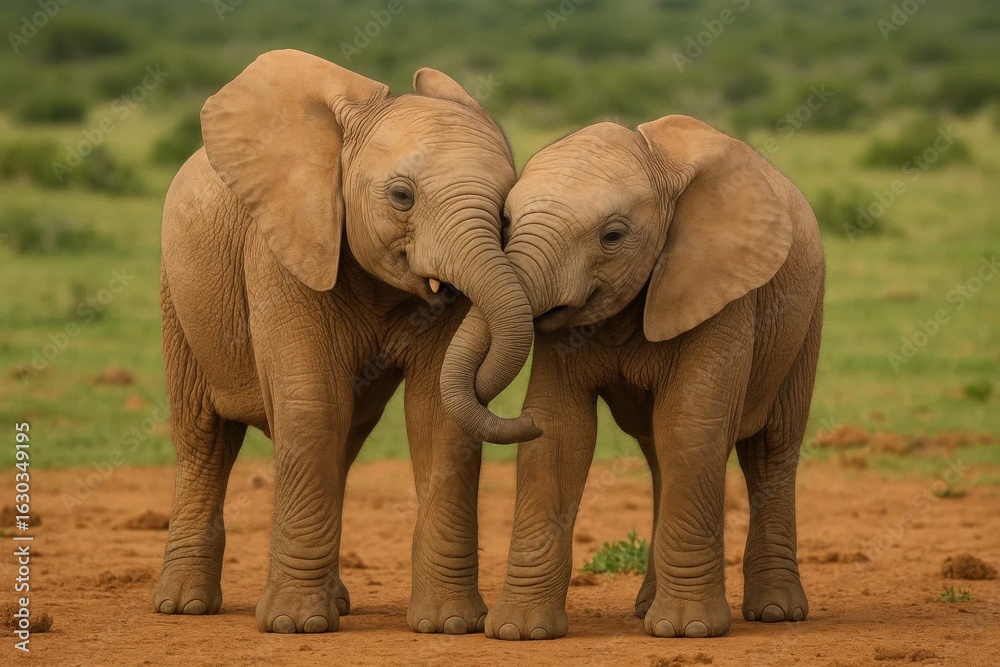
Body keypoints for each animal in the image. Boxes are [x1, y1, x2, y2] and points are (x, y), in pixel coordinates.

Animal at [154, 49, 539, 635]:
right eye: (401, 197)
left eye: (505, 212)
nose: (534, 423)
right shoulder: (286, 242)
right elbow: (311, 405)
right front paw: (294, 627)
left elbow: (438, 414)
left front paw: (447, 626)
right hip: (177, 293)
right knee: (204, 437)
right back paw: (184, 607)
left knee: (346, 437)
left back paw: (334, 603)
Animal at [484, 115, 824, 639]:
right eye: (504, 222)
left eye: (613, 236)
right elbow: (559, 430)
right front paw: (520, 632)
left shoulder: (723, 289)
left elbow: (690, 424)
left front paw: (687, 630)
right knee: (659, 454)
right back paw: (647, 607)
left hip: (805, 319)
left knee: (770, 448)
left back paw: (776, 613)